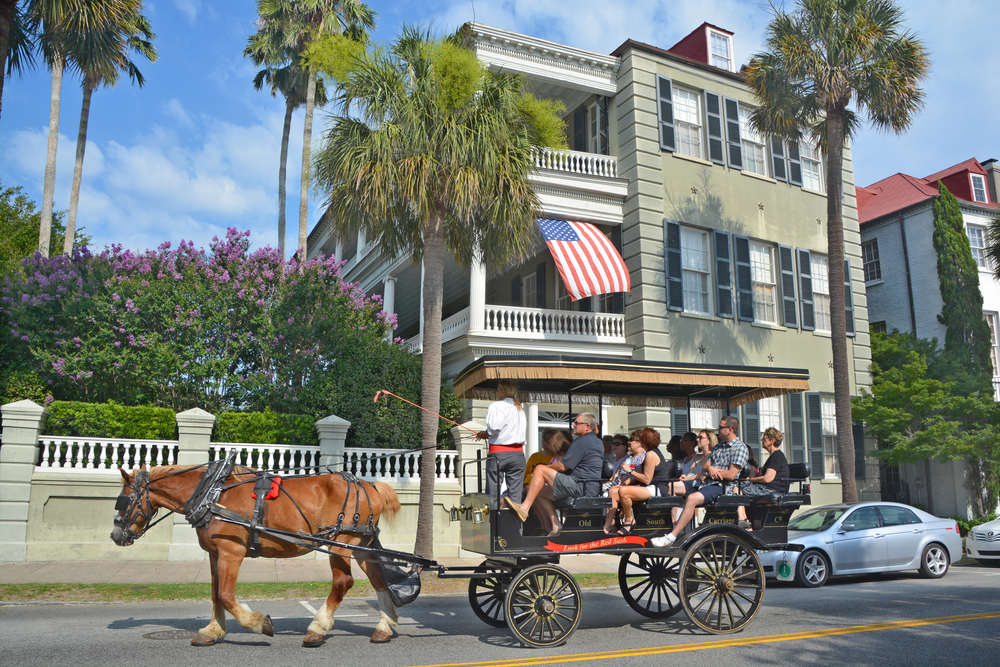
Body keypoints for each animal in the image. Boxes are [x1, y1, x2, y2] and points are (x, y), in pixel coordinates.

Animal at [110, 464, 402, 648]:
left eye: (123, 500)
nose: (115, 535)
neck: (212, 495)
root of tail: (370, 485)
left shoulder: (231, 553)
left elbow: (226, 595)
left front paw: (259, 623)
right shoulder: (215, 554)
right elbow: (215, 594)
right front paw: (212, 631)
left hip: (341, 543)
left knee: (343, 583)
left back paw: (317, 628)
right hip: (361, 544)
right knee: (378, 580)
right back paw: (384, 627)